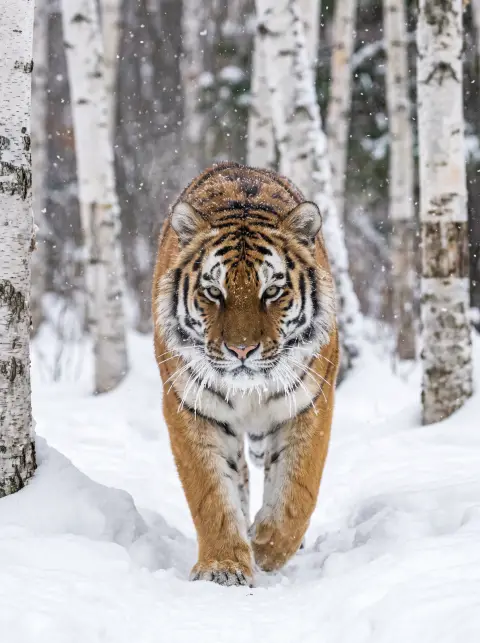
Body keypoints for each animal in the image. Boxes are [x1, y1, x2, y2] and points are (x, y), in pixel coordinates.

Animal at [152, 162, 339, 587]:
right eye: (213, 292)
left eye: (271, 292)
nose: (241, 350)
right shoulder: (191, 407)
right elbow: (210, 494)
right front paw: (224, 565)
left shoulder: (310, 404)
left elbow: (297, 492)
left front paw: (267, 548)